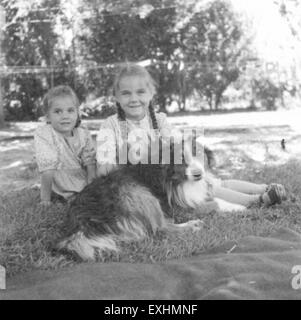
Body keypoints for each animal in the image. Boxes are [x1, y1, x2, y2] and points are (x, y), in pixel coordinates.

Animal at [56, 135, 232, 260]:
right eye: (181, 159)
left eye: (200, 154)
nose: (198, 174)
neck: (177, 177)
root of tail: (80, 221)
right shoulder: (180, 209)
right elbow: (216, 203)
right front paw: (234, 207)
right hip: (141, 195)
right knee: (161, 229)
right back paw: (192, 226)